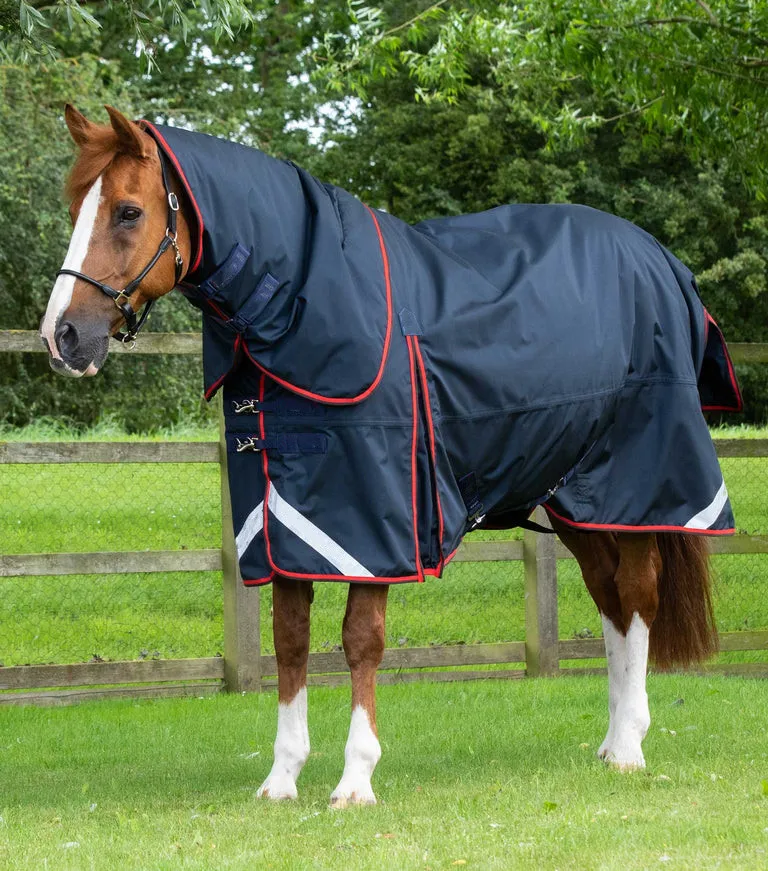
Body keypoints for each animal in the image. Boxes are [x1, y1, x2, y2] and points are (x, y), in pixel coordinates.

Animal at [41, 105, 741, 807]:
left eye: (128, 211)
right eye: (75, 205)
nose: (61, 336)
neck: (305, 306)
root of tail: (661, 261)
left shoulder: (375, 526)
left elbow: (360, 642)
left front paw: (356, 780)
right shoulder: (279, 524)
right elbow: (289, 641)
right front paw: (282, 778)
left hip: (640, 487)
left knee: (637, 595)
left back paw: (629, 747)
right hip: (574, 500)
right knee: (609, 600)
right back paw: (612, 738)